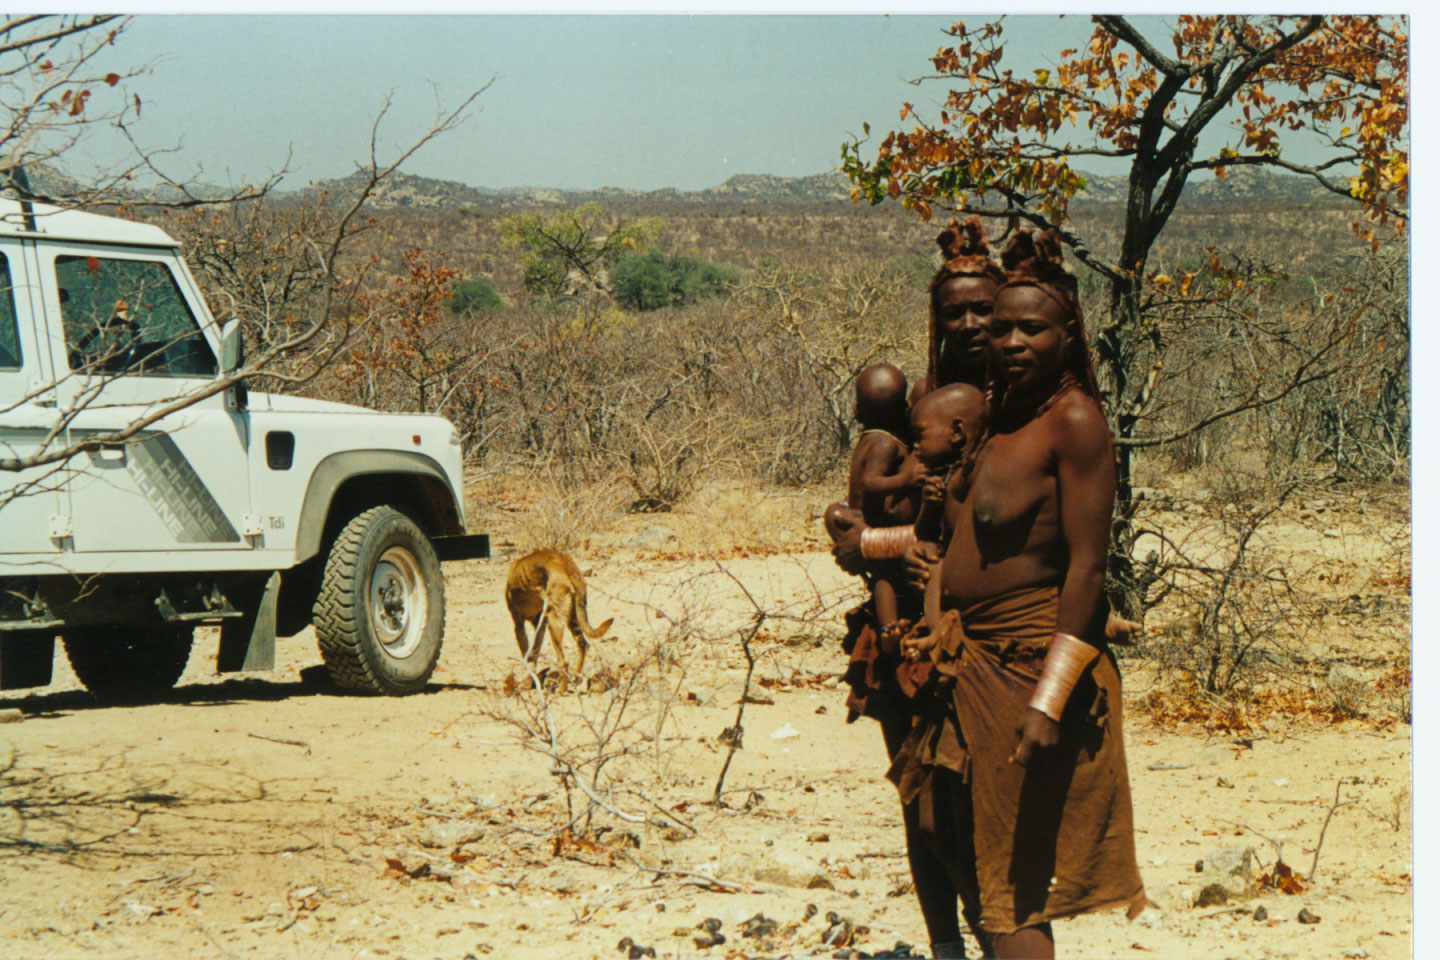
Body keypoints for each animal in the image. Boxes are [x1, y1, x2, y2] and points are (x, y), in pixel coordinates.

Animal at [506, 546, 613, 676]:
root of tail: (566, 566)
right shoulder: (540, 623)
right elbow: (534, 651)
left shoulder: (519, 624)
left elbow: (527, 655)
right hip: (572, 618)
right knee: (583, 644)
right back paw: (575, 676)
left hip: (554, 621)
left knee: (563, 661)